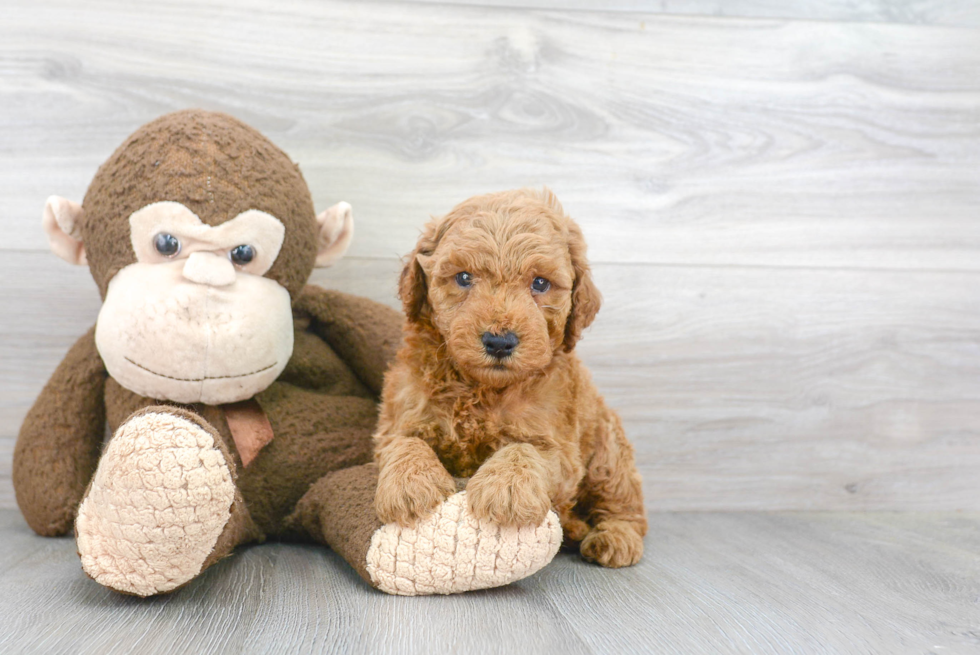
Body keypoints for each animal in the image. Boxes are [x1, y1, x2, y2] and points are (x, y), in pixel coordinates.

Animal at [372, 187, 648, 568]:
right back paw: (576, 528)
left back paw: (615, 538)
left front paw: (507, 490)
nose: (499, 341)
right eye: (463, 277)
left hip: (608, 453)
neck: (482, 389)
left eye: (540, 283)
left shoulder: (559, 446)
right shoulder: (399, 414)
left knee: (625, 505)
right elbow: (405, 442)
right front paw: (409, 485)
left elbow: (525, 448)